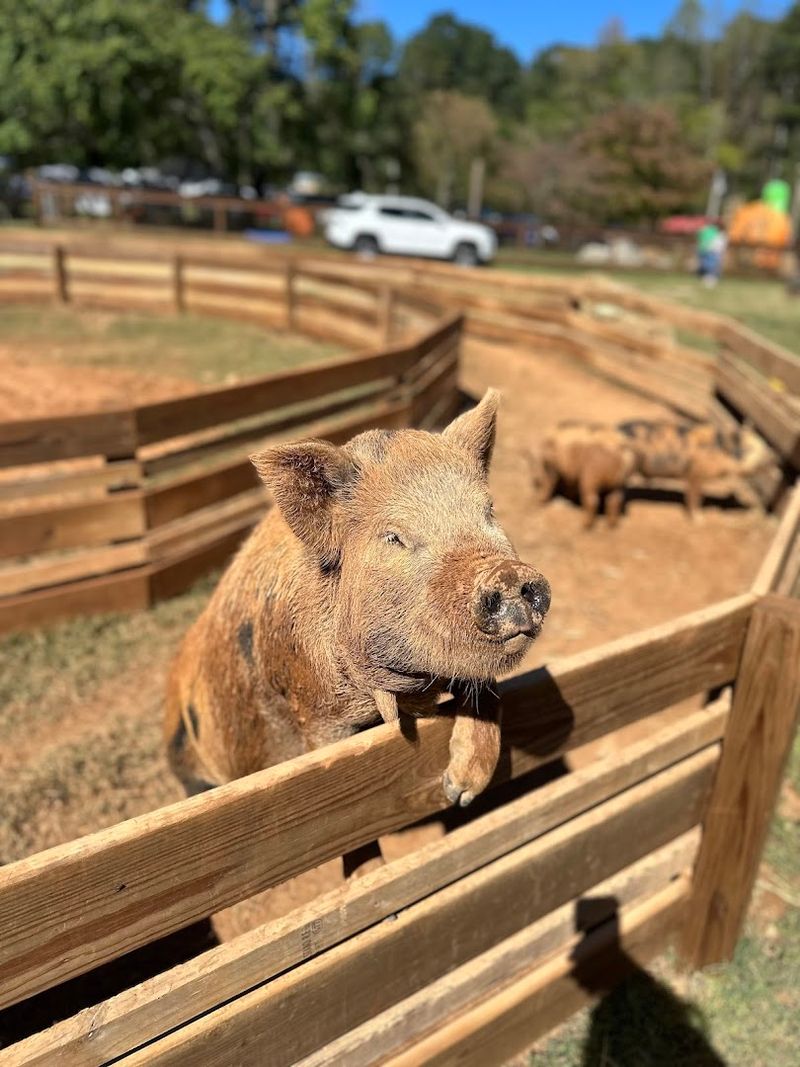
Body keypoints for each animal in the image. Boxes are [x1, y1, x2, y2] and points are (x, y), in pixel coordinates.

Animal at [165, 390, 551, 840]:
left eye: (489, 511)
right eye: (394, 536)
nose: (508, 574)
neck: (408, 693)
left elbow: (487, 689)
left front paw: (460, 792)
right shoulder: (311, 703)